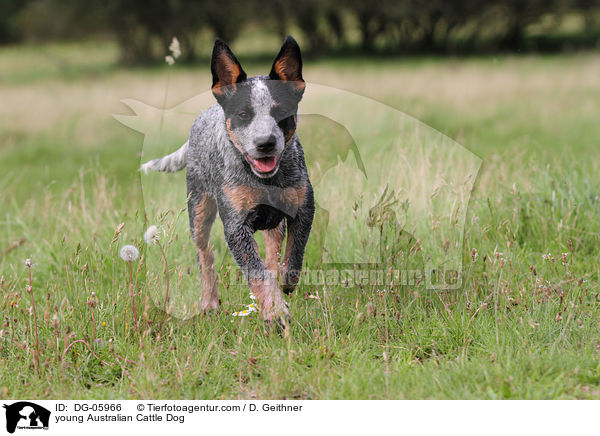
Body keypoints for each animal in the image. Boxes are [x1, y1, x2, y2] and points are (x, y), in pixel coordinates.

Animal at [140, 35, 314, 326]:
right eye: (244, 114)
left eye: (281, 113)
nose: (265, 143)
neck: (266, 182)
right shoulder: (235, 225)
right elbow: (257, 272)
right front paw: (275, 312)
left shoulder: (303, 209)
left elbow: (293, 257)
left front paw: (283, 285)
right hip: (198, 210)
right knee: (205, 256)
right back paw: (210, 303)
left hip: (272, 224)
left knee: (273, 248)